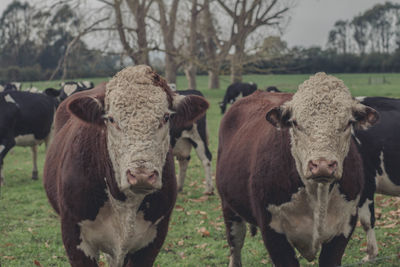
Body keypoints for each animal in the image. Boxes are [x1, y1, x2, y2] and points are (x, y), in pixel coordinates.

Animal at [43, 65, 209, 267]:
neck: (124, 202)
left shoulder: (152, 241)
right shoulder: (74, 236)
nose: (141, 175)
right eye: (111, 119)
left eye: (166, 117)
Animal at [216, 72, 378, 266]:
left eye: (348, 123)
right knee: (236, 247)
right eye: (295, 123)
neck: (317, 196)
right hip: (229, 208)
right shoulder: (273, 234)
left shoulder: (344, 228)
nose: (322, 165)